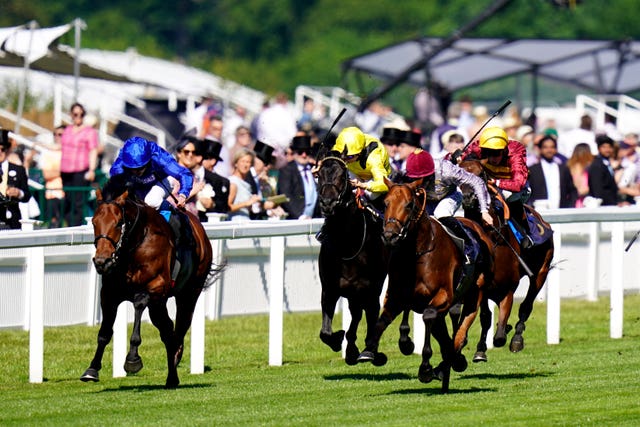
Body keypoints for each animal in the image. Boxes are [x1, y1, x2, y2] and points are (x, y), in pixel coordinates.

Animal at [80, 189, 214, 390]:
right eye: (94, 222)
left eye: (118, 223)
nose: (102, 262)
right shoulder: (109, 294)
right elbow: (104, 333)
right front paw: (92, 370)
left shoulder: (153, 287)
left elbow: (138, 304)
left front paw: (132, 360)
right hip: (159, 304)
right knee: (167, 331)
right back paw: (172, 375)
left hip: (189, 293)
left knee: (180, 328)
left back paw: (174, 369)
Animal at [358, 178, 492, 394]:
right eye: (385, 203)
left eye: (409, 205)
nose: (389, 235)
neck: (416, 253)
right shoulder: (396, 296)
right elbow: (381, 321)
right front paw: (370, 352)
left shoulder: (443, 296)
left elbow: (429, 318)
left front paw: (426, 368)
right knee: (446, 338)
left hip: (475, 294)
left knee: (461, 331)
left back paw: (453, 361)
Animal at [460, 159, 556, 362]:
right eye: (460, 174)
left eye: (481, 174)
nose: (468, 197)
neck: (492, 238)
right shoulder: (482, 289)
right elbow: (486, 318)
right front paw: (480, 350)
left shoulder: (508, 290)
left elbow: (499, 335)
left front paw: (504, 335)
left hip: (541, 273)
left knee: (526, 306)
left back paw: (517, 338)